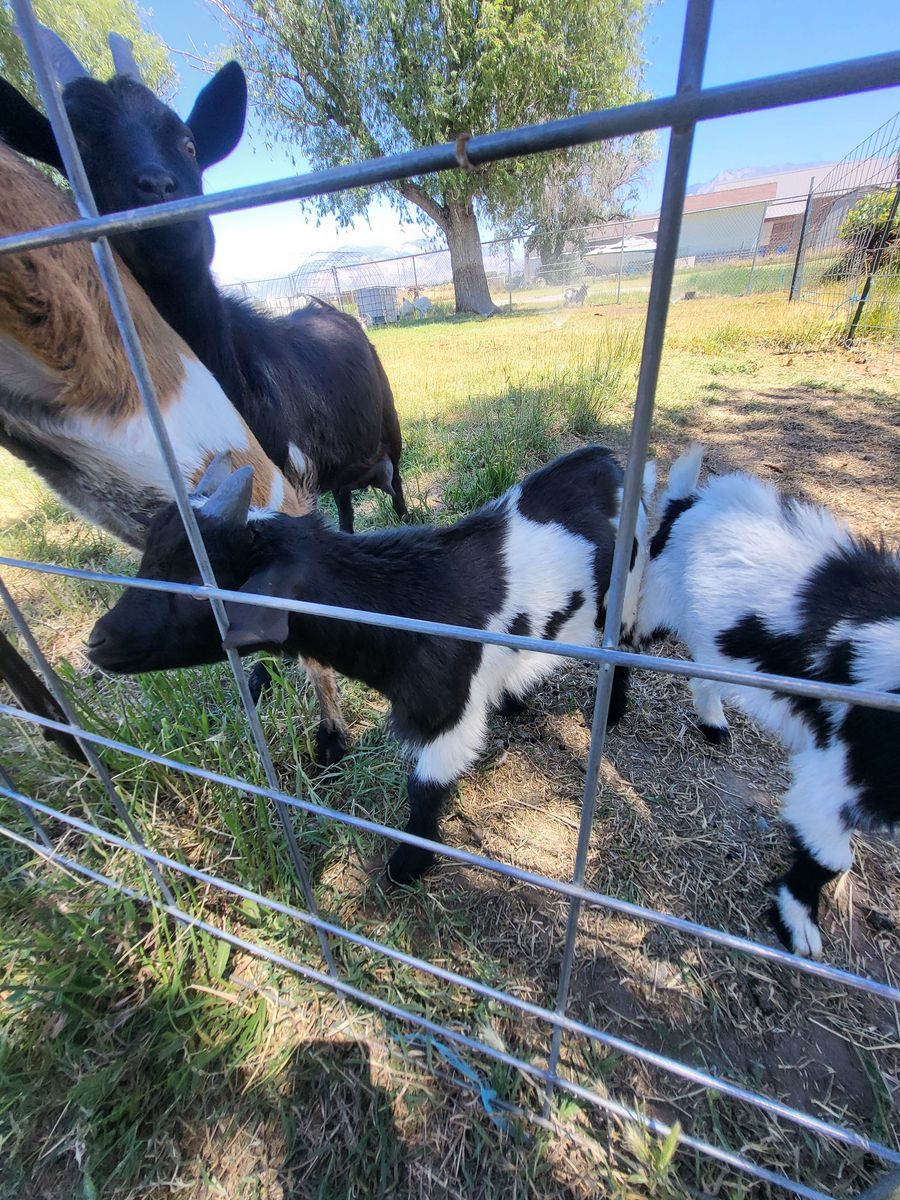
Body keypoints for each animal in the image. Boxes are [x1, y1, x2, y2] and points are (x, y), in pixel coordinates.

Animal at [1, 28, 407, 534]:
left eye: (189, 144)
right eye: (76, 152)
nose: (157, 190)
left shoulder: (287, 474)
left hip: (389, 430)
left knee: (395, 489)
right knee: (348, 505)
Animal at [88, 447, 653, 884]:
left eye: (197, 584)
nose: (97, 642)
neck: (405, 603)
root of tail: (609, 461)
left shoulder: (447, 714)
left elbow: (423, 787)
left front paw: (408, 864)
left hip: (628, 594)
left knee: (625, 651)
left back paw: (613, 711)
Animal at [635, 446, 900, 959]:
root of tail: (686, 501)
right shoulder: (841, 770)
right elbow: (831, 855)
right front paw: (797, 926)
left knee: (705, 675)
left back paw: (714, 726)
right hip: (655, 601)